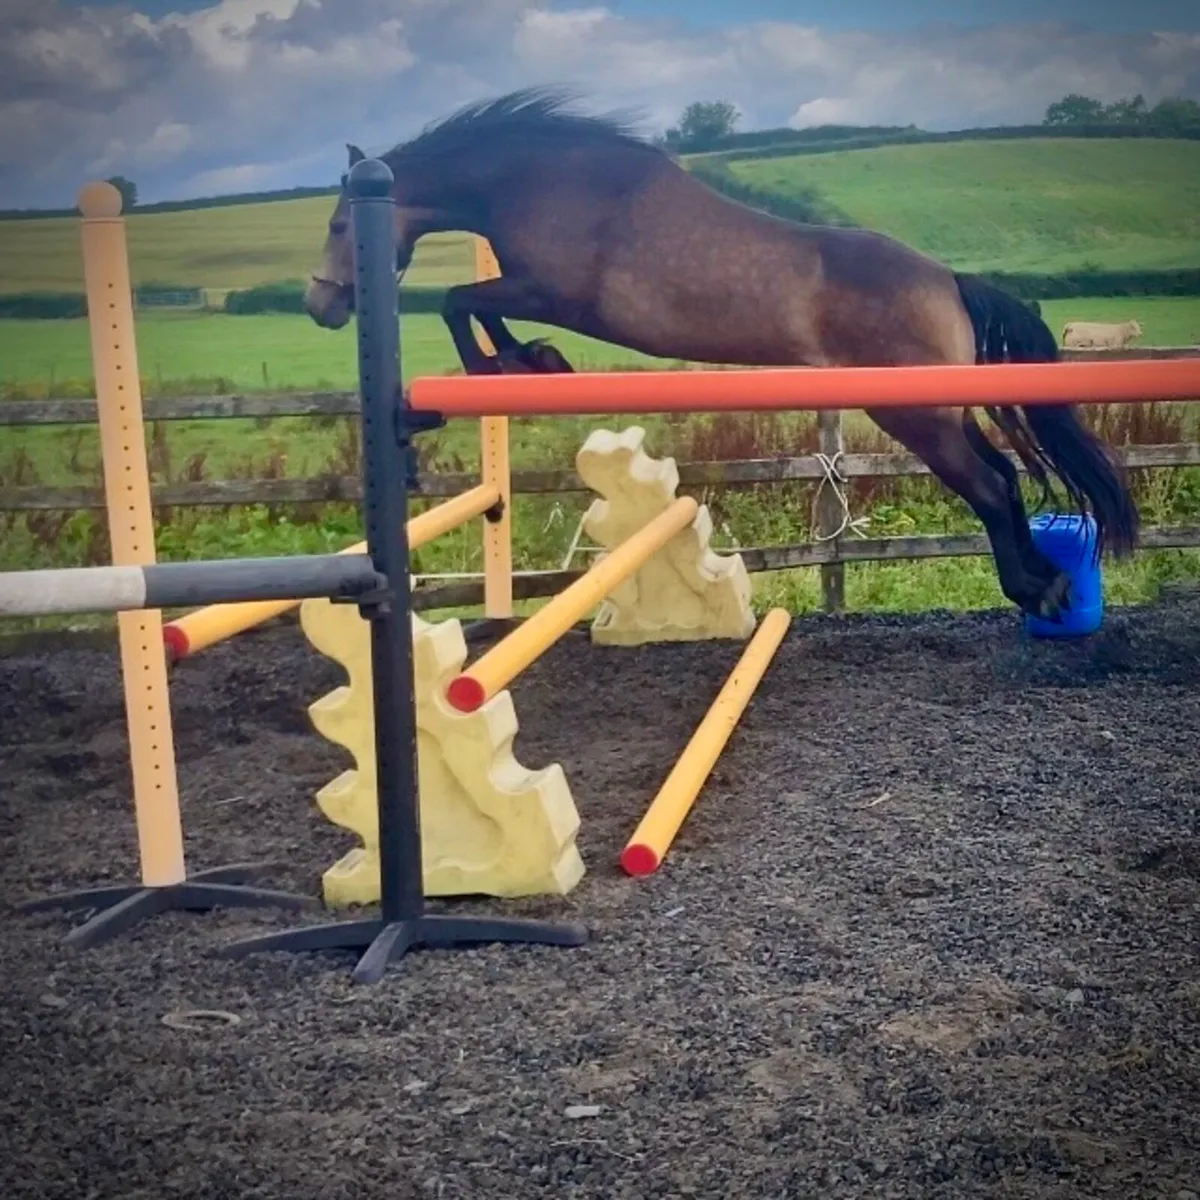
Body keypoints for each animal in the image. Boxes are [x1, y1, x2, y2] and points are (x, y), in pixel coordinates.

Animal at [303, 86, 1139, 622]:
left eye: (342, 225)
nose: (321, 307)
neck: (541, 179)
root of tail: (947, 280)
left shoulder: (553, 290)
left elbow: (459, 301)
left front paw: (511, 367)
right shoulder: (536, 289)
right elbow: (472, 304)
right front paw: (532, 363)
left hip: (912, 414)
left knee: (991, 487)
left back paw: (1035, 591)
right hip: (935, 409)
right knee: (1004, 477)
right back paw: (1046, 586)